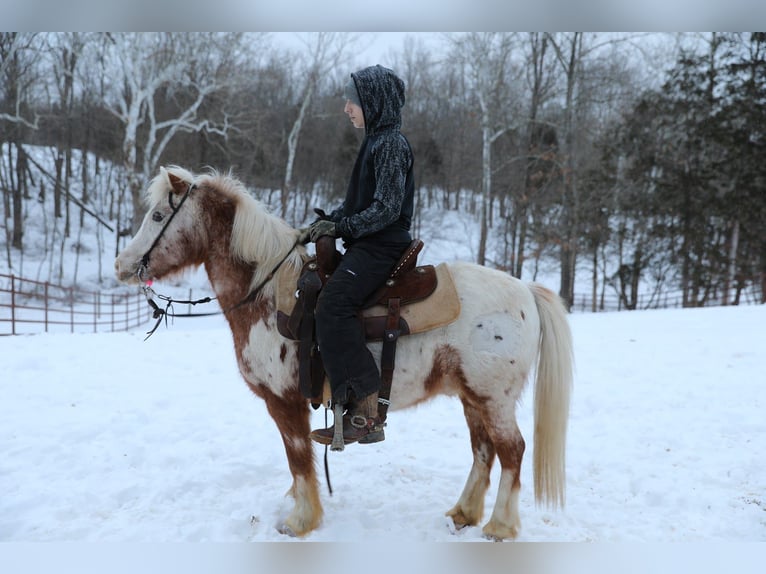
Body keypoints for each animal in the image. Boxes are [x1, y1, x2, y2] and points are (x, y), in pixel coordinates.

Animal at [114, 165, 574, 541]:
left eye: (158, 216)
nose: (121, 266)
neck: (267, 293)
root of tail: (525, 291)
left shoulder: (284, 401)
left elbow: (298, 457)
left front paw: (299, 521)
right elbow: (298, 462)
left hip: (494, 399)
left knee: (512, 451)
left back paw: (500, 527)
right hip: (472, 398)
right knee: (484, 450)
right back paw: (463, 513)